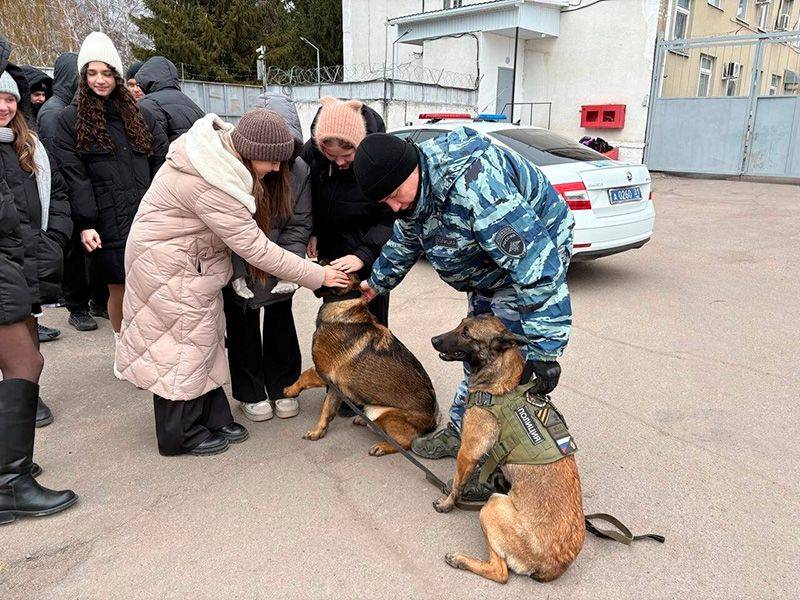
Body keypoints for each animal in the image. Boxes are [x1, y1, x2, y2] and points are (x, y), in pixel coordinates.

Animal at [282, 276, 438, 454]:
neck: (343, 301)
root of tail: (432, 421)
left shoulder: (321, 372)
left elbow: (304, 376)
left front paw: (290, 390)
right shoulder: (335, 387)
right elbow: (327, 410)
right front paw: (318, 432)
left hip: (381, 413)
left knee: (406, 443)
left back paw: (382, 446)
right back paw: (363, 420)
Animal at [428, 316, 584, 584]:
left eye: (467, 333)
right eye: (460, 324)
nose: (434, 339)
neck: (501, 378)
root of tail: (555, 564)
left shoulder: (468, 451)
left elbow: (458, 483)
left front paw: (447, 503)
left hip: (494, 506)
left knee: (500, 572)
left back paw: (460, 560)